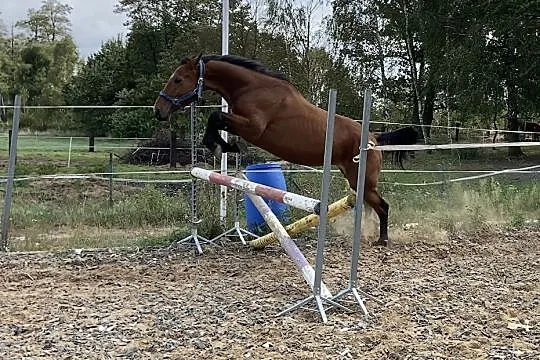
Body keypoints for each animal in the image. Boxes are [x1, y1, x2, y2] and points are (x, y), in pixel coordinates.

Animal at [154, 53, 420, 246]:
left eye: (178, 80)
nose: (159, 110)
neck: (252, 88)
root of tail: (373, 138)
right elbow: (218, 119)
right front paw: (226, 145)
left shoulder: (254, 128)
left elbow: (216, 116)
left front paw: (221, 146)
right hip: (356, 180)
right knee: (372, 207)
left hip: (362, 181)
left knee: (383, 206)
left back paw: (382, 241)